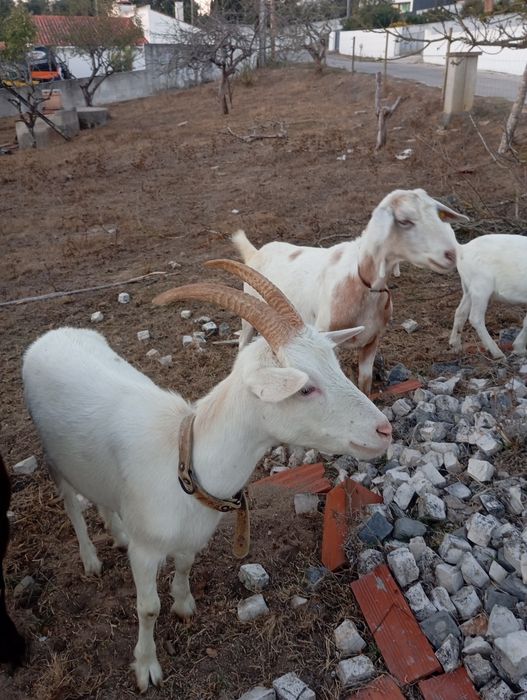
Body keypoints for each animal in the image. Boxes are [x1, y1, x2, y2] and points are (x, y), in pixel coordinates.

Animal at [23, 260, 392, 692]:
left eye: (335, 365)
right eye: (304, 389)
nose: (384, 429)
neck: (183, 459)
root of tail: (49, 337)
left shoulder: (193, 534)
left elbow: (184, 566)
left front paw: (184, 604)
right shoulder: (146, 551)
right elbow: (148, 608)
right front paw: (146, 666)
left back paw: (116, 532)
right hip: (55, 458)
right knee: (71, 504)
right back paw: (90, 558)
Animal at [232, 188, 468, 394]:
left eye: (437, 215)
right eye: (404, 221)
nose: (451, 254)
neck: (361, 282)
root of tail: (255, 252)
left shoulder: (372, 340)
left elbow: (365, 382)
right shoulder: (328, 337)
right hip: (248, 315)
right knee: (243, 341)